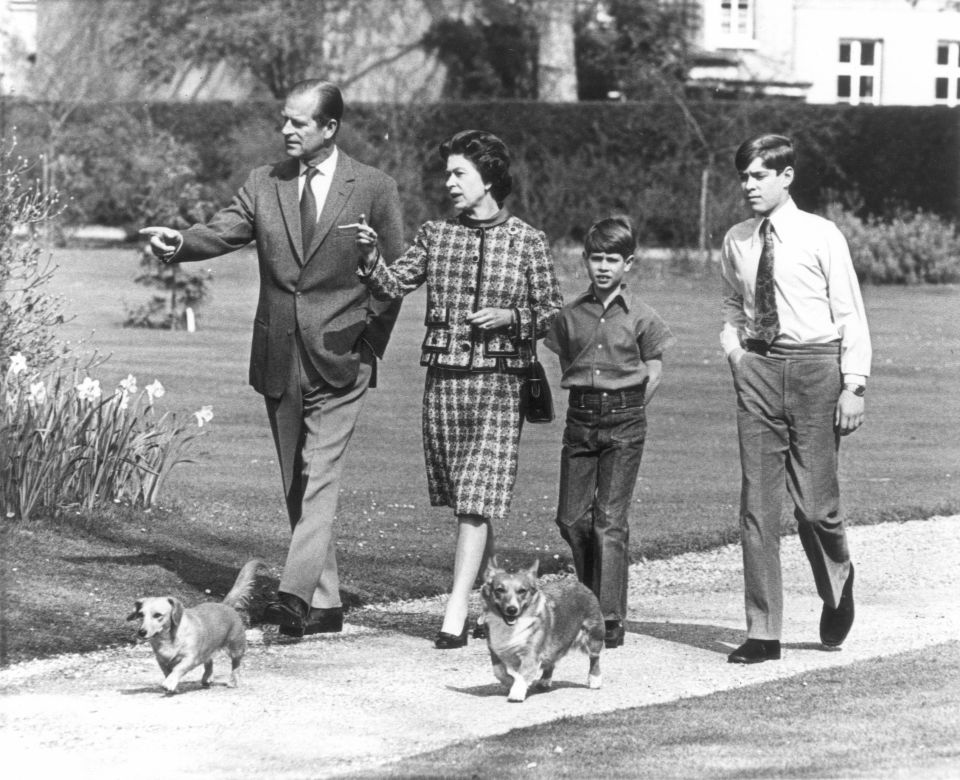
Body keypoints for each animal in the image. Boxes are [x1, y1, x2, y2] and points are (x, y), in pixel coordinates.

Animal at [126, 556, 266, 692]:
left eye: (157, 615)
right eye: (141, 615)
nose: (141, 632)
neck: (167, 638)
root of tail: (225, 605)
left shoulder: (190, 658)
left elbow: (178, 668)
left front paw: (169, 683)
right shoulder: (161, 660)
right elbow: (167, 672)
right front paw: (173, 685)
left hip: (236, 648)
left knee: (236, 665)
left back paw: (233, 681)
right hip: (209, 648)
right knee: (209, 661)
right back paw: (207, 678)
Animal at [484, 556, 604, 704]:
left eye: (522, 591)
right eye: (499, 590)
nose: (512, 609)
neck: (510, 627)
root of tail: (580, 584)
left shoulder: (530, 654)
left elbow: (522, 675)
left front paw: (516, 693)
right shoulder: (495, 651)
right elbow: (499, 672)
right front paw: (511, 682)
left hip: (593, 636)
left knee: (594, 658)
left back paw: (594, 680)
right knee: (551, 660)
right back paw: (544, 681)